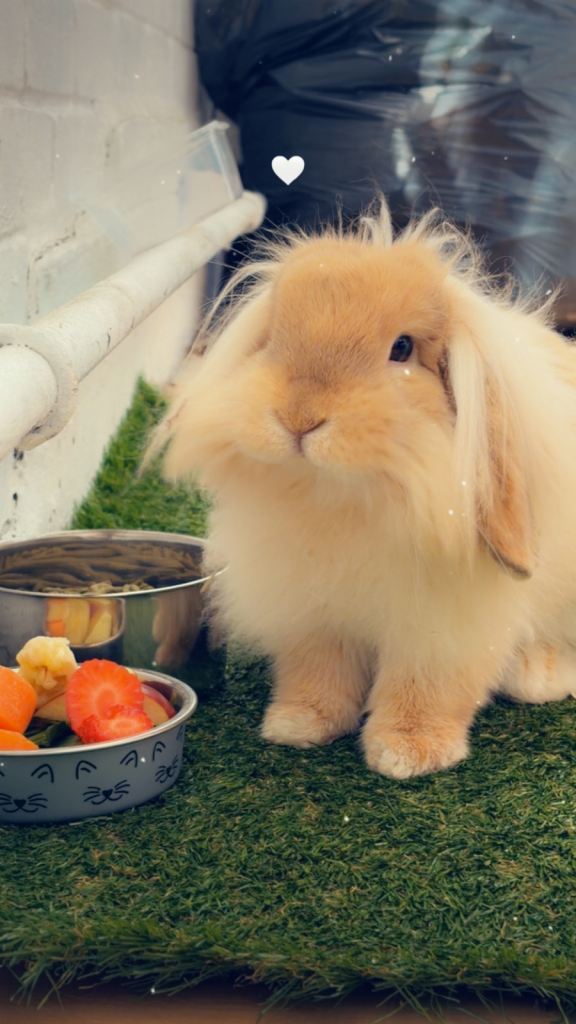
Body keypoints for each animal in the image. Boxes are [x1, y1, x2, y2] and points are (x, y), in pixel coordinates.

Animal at [148, 200, 576, 778]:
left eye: (402, 348)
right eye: (274, 338)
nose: (299, 418)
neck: (347, 498)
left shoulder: (440, 631)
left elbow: (426, 689)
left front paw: (407, 753)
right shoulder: (314, 616)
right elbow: (317, 673)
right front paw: (297, 725)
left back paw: (539, 676)